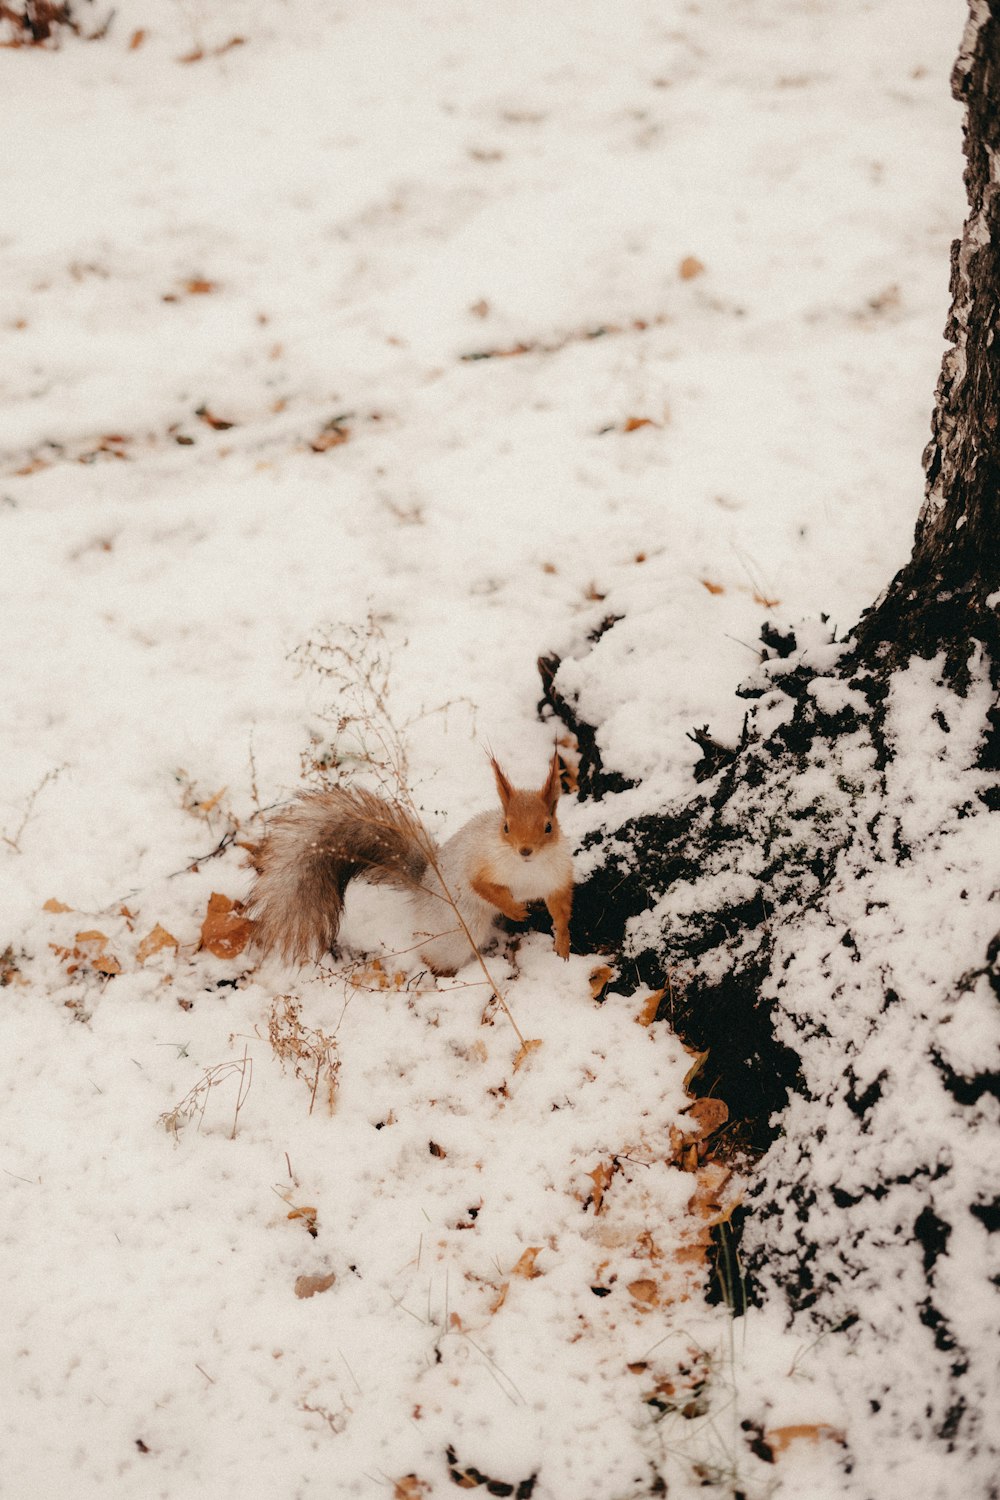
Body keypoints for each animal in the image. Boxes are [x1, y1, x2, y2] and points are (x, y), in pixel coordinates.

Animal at [247, 750, 575, 972]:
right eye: (506, 827)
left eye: (549, 826)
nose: (525, 850)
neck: (528, 870)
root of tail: (425, 885)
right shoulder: (484, 864)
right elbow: (481, 887)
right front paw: (514, 909)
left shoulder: (558, 876)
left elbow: (560, 908)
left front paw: (563, 943)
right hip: (458, 930)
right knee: (435, 955)